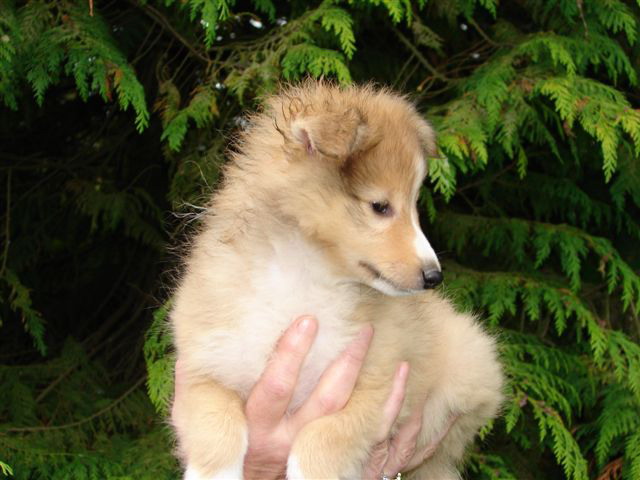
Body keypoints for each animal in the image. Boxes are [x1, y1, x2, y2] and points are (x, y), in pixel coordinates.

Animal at [170, 80, 504, 479]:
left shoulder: (377, 385)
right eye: (380, 206)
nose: (433, 276)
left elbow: (322, 436)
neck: (303, 276)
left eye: (414, 205)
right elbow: (216, 424)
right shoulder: (204, 369)